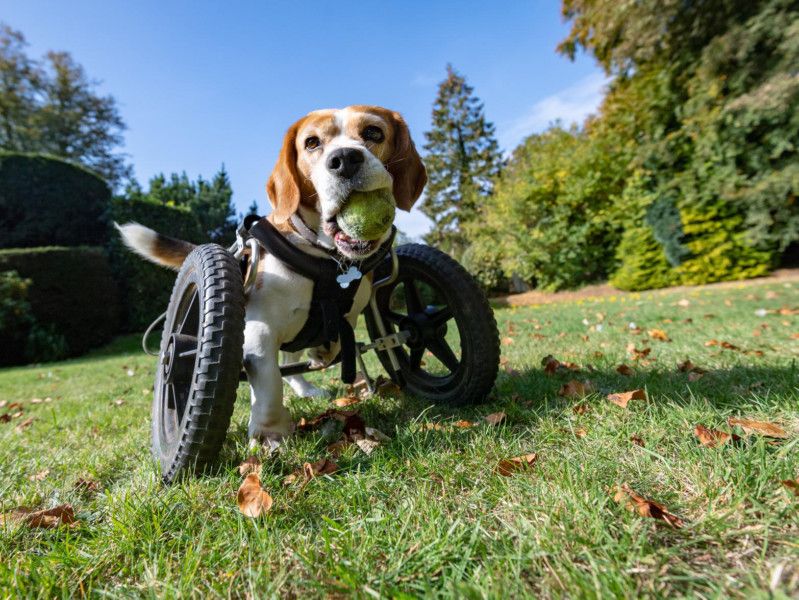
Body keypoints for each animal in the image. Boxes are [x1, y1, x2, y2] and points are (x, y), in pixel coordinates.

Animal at [117, 106, 424, 446]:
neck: (326, 258)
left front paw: (322, 352)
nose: (344, 158)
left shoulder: (348, 314)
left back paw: (307, 385)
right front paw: (271, 433)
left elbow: (329, 344)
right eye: (312, 143)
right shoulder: (260, 332)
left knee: (291, 361)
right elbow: (270, 383)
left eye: (373, 133)